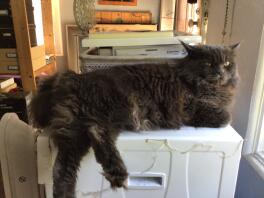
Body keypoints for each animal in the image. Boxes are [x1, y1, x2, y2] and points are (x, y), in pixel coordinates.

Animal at [30, 41, 239, 197]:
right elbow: (226, 116)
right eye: (209, 64)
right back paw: (119, 174)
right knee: (95, 133)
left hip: (78, 134)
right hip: (112, 111)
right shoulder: (192, 109)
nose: (221, 73)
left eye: (227, 64)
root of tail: (71, 77)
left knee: (63, 168)